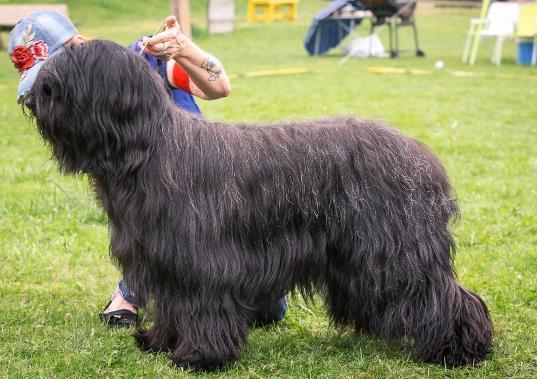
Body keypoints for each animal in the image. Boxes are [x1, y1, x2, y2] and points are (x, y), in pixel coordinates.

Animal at [26, 40, 494, 372]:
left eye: (57, 85)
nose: (30, 100)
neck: (149, 150)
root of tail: (420, 155)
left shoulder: (201, 259)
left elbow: (201, 304)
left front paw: (199, 357)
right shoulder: (163, 259)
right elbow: (173, 306)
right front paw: (159, 342)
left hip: (395, 250)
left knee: (440, 292)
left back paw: (460, 349)